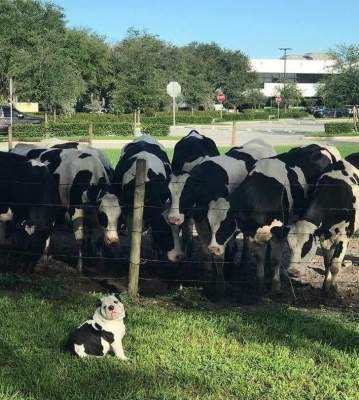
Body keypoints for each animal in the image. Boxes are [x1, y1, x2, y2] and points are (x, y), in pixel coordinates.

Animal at [114, 134, 184, 262]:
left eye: (180, 228)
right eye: (163, 230)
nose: (179, 256)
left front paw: (156, 250)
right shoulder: (128, 211)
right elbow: (134, 233)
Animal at [168, 139, 276, 292]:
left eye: (188, 193)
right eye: (169, 192)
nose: (173, 218)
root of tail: (260, 141)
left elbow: (220, 255)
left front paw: (220, 283)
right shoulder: (201, 219)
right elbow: (205, 250)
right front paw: (208, 275)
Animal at [211, 143, 344, 290]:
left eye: (226, 223)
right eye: (208, 223)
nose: (213, 249)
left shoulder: (279, 232)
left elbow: (275, 260)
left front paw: (275, 285)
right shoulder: (254, 234)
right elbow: (259, 257)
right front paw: (260, 282)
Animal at [286, 159, 359, 294]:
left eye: (307, 246)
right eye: (289, 245)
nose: (292, 272)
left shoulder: (344, 236)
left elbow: (335, 265)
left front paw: (334, 289)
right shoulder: (323, 237)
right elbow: (327, 262)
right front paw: (326, 285)